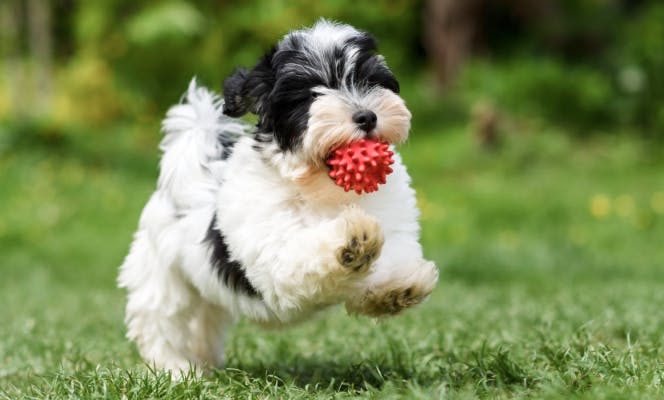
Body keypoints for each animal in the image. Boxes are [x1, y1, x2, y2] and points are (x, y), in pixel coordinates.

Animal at [118, 20, 440, 374]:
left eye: (370, 82)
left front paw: (395, 289)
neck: (320, 186)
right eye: (311, 94)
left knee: (206, 317)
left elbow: (392, 255)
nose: (366, 116)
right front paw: (351, 242)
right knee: (160, 318)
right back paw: (175, 368)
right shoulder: (273, 247)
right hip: (162, 270)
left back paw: (204, 362)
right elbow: (299, 253)